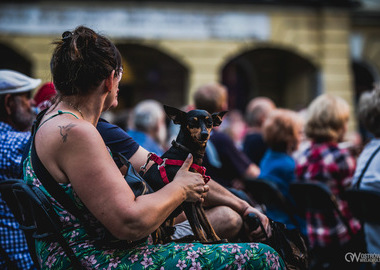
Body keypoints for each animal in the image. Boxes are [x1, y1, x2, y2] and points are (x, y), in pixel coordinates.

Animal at [142, 105, 226, 243]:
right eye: (192, 122)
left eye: (210, 123)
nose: (205, 134)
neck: (188, 151)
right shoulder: (188, 201)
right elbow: (197, 226)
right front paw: (204, 242)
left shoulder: (198, 202)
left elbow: (207, 224)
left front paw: (216, 240)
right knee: (160, 239)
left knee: (167, 237)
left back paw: (186, 238)